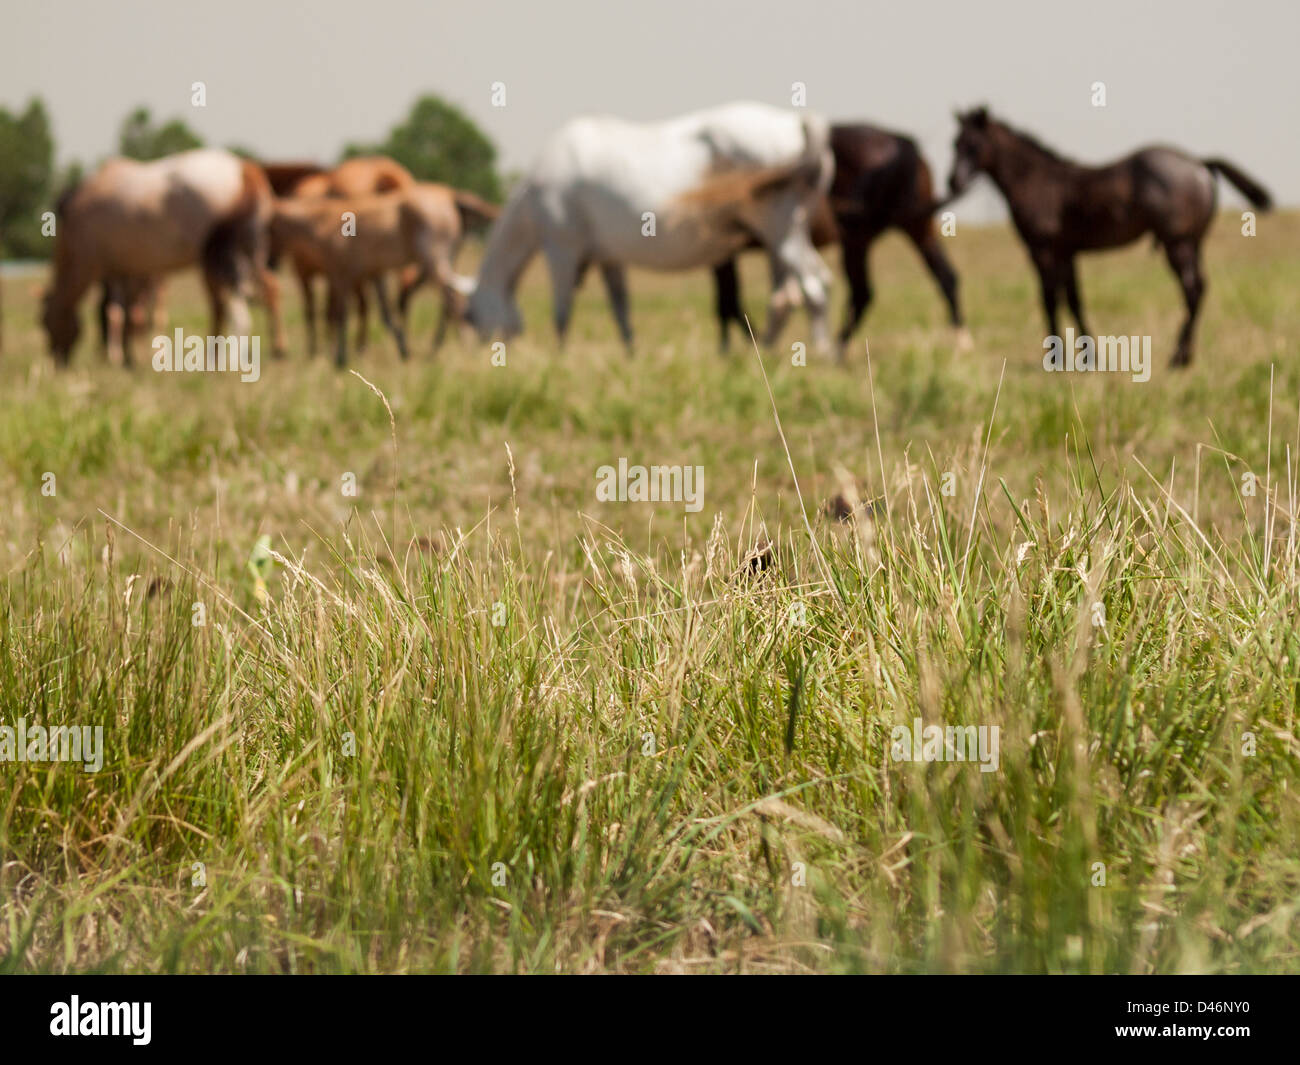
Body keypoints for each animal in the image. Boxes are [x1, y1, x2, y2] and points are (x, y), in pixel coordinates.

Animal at [41, 148, 285, 366]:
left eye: (44, 323)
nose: (57, 361)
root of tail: (247, 170)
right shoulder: (123, 269)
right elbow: (126, 314)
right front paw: (127, 358)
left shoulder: (101, 264)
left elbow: (120, 314)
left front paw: (122, 359)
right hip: (250, 249)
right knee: (264, 290)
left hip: (222, 254)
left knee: (230, 308)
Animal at [268, 183, 471, 366]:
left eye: (270, 228)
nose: (270, 263)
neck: (322, 223)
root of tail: (450, 198)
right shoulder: (373, 274)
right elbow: (384, 314)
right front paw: (403, 349)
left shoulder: (341, 275)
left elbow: (341, 315)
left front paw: (340, 358)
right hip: (442, 261)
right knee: (449, 300)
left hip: (433, 260)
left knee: (453, 299)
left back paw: (455, 345)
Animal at [464, 101, 835, 354]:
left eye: (472, 321)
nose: (486, 353)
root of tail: (798, 123)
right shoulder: (608, 256)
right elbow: (621, 310)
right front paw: (631, 355)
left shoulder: (561, 247)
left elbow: (562, 312)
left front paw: (560, 357)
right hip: (791, 229)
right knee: (808, 285)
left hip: (779, 226)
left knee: (812, 288)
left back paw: (819, 352)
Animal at [712, 123, 965, 359]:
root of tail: (903, 141)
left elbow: (728, 300)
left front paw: (738, 347)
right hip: (915, 228)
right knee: (945, 276)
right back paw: (962, 341)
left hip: (858, 239)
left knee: (862, 293)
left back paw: (837, 351)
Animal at [947, 107, 1273, 367]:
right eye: (955, 143)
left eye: (973, 145)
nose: (953, 182)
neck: (1035, 180)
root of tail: (1200, 163)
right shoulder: (1067, 252)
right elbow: (1074, 300)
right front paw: (1088, 358)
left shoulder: (1043, 251)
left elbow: (1050, 299)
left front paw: (1056, 359)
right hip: (1193, 244)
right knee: (1199, 288)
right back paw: (1184, 356)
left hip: (1177, 244)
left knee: (1192, 290)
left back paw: (1177, 358)